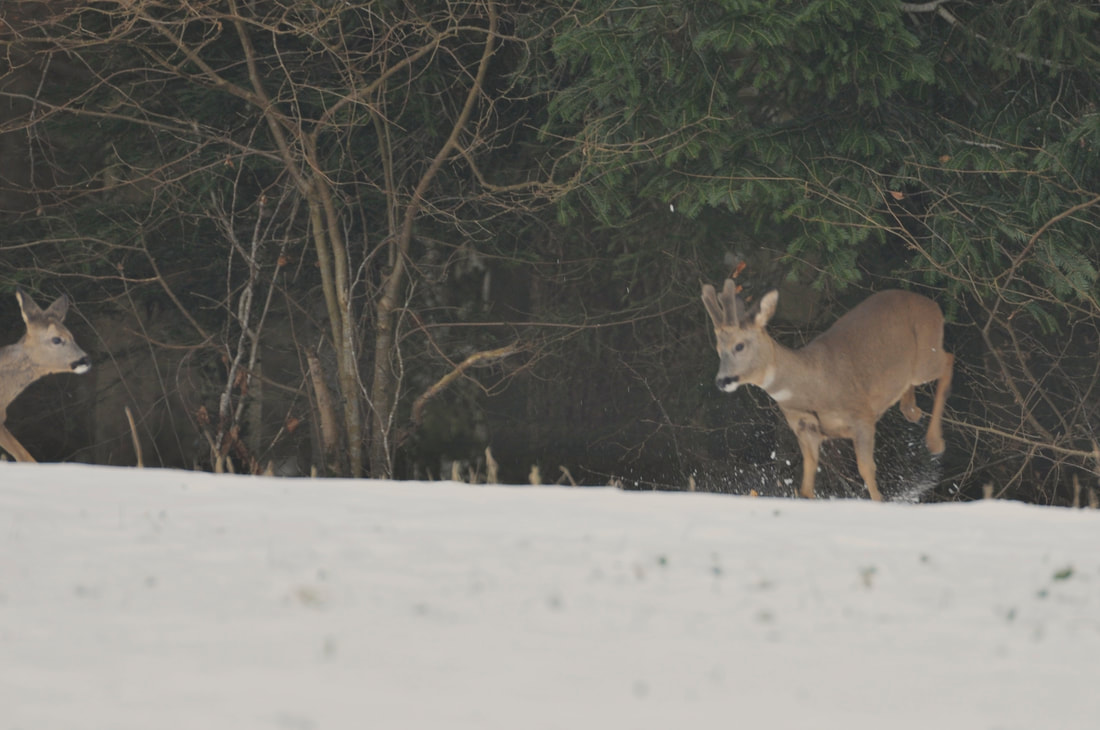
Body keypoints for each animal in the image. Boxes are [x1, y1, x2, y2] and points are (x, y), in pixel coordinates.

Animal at [701, 280, 952, 501]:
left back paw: (935, 442)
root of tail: (932, 304)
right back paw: (912, 412)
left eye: (739, 345)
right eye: (718, 349)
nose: (722, 381)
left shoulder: (861, 416)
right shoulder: (805, 429)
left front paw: (881, 502)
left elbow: (866, 469)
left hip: (925, 357)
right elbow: (806, 486)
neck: (813, 387)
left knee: (948, 360)